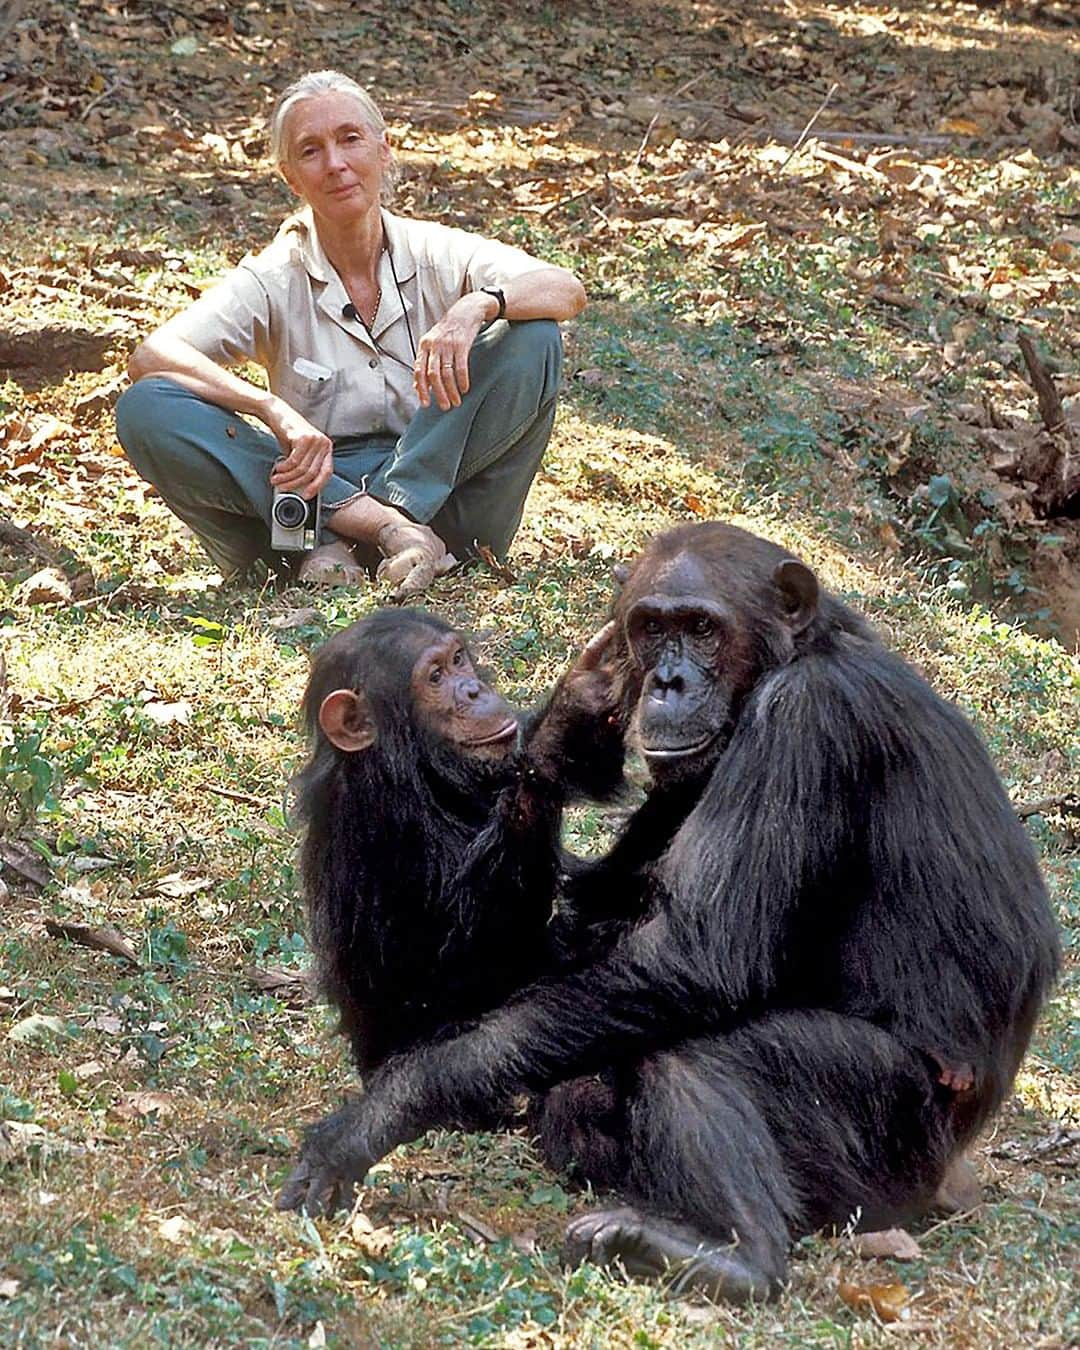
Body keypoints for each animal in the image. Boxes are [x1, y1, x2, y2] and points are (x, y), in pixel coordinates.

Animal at [291, 607, 621, 1080]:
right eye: (434, 677)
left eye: (458, 659)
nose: (472, 689)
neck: (424, 772)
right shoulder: (386, 816)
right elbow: (479, 946)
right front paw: (568, 722)